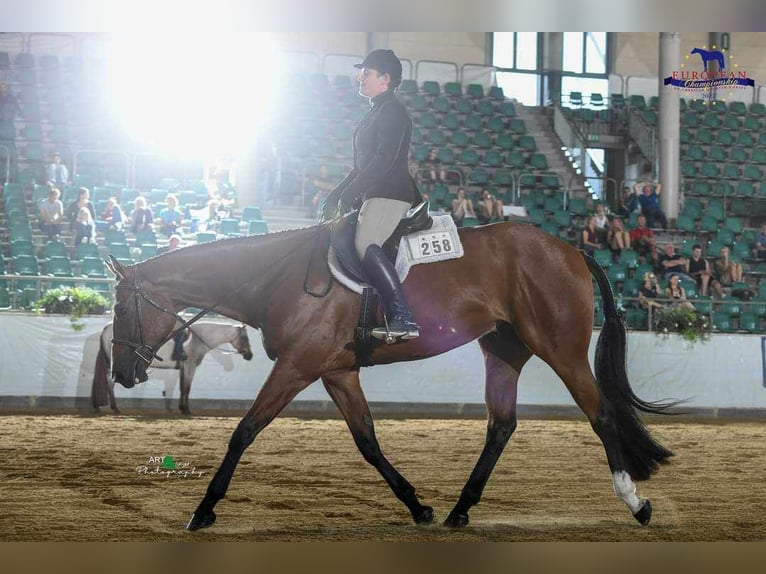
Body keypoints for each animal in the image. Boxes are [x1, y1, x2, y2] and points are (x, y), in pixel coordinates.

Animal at [91, 322, 250, 416]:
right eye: (245, 338)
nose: (249, 355)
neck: (197, 339)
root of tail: (106, 329)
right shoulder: (190, 366)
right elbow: (187, 388)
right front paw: (187, 410)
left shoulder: (183, 368)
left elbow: (182, 387)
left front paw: (181, 408)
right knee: (110, 382)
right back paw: (115, 408)